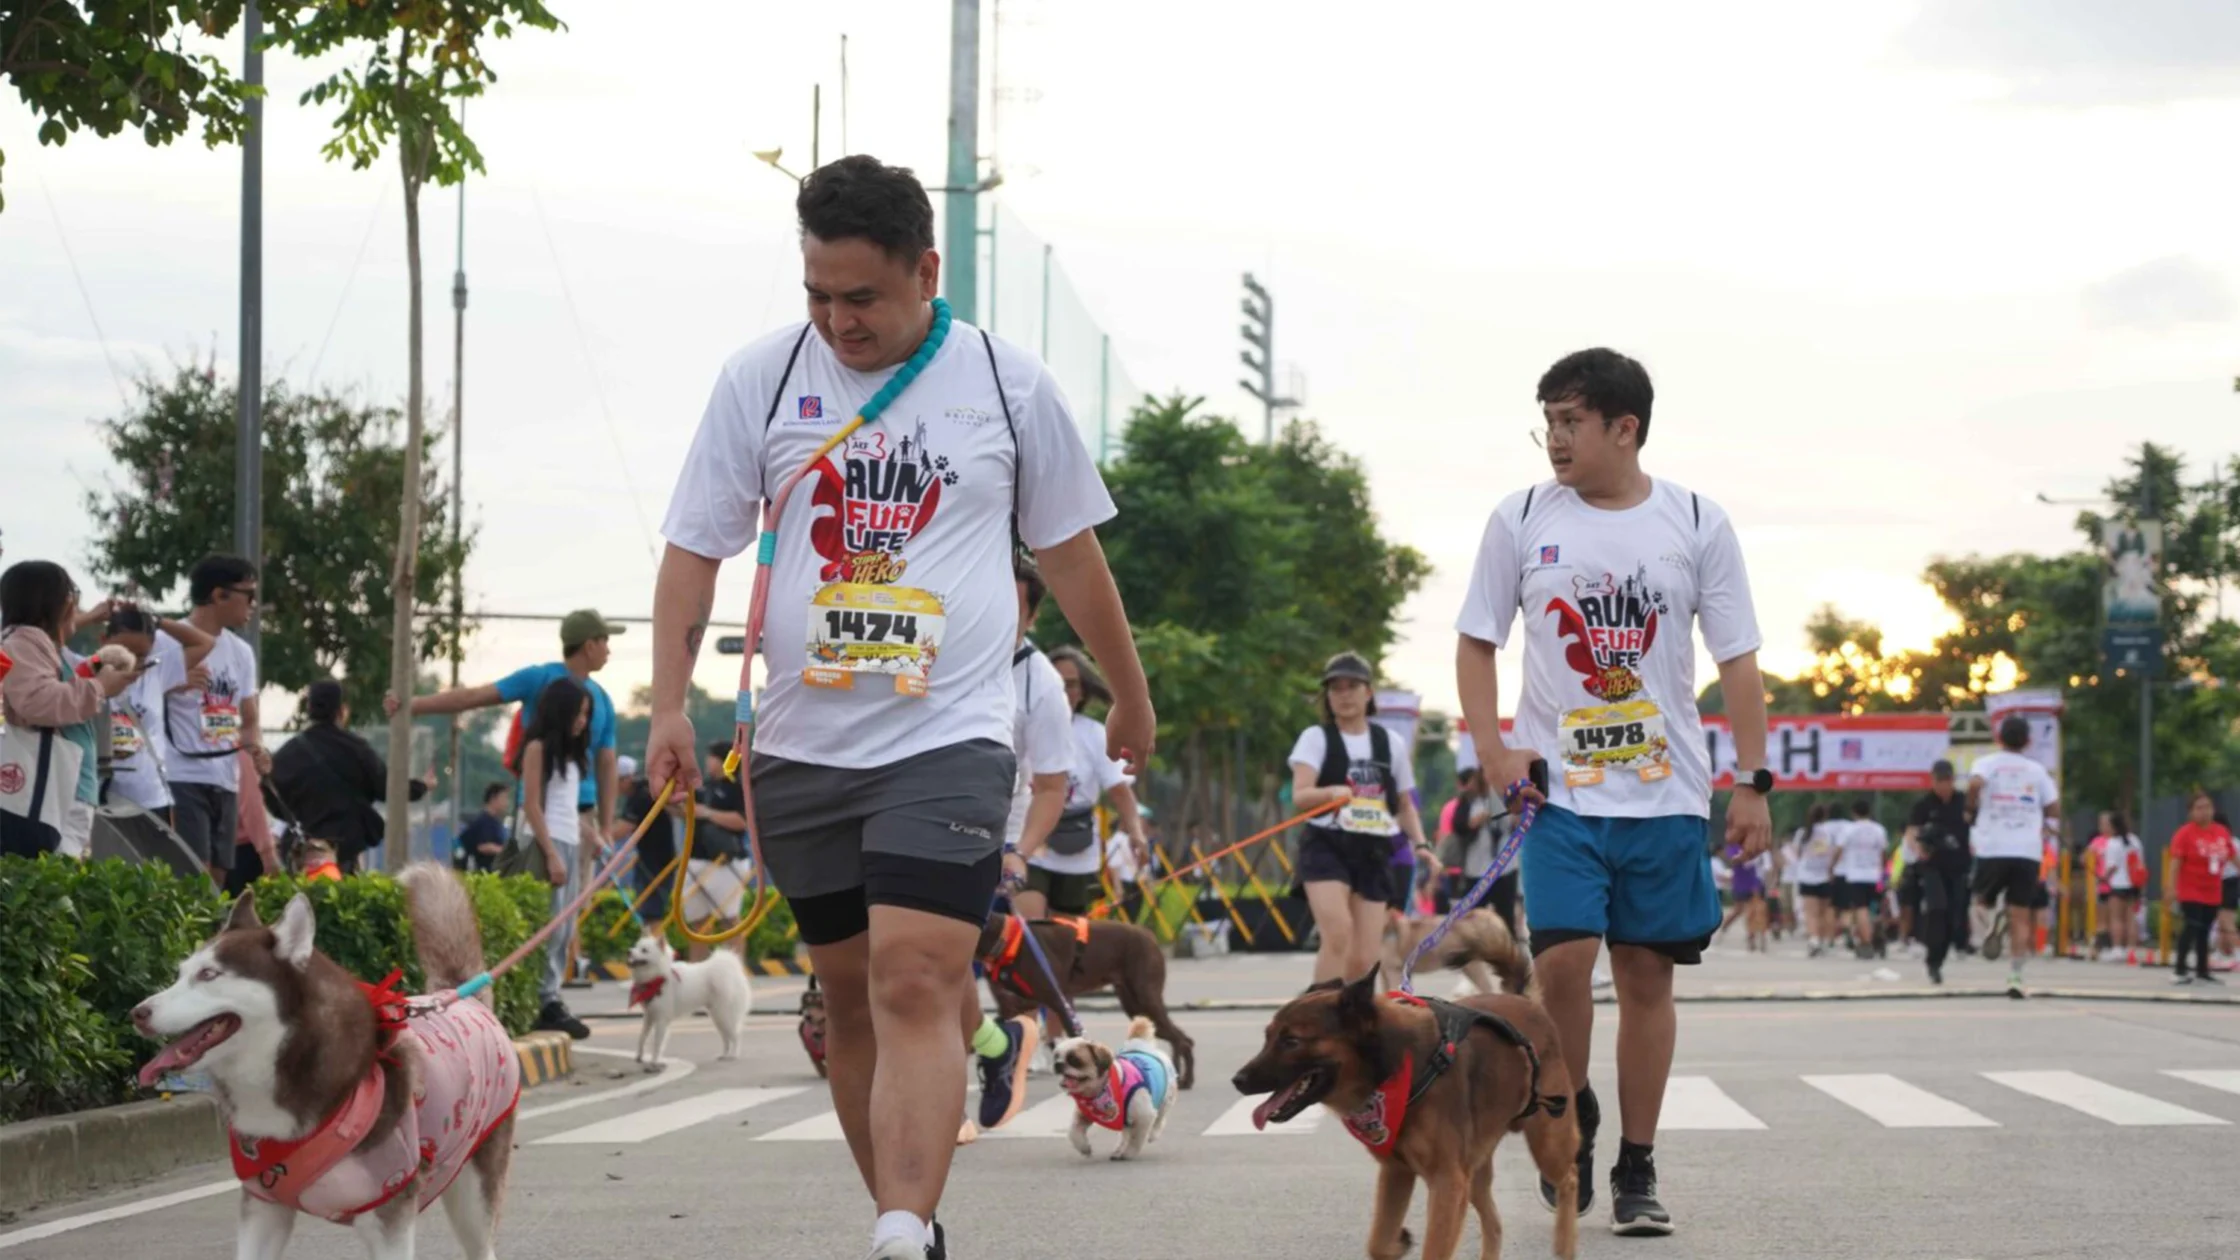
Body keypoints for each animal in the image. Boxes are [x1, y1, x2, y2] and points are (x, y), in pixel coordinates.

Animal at [131, 862, 518, 1259]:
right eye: (180, 973)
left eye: (209, 974)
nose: (138, 1013)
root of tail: (461, 996)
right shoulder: (264, 1207)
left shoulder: (389, 1211)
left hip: (473, 1188)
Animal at [625, 933, 751, 1070]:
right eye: (636, 946)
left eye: (644, 950)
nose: (629, 951)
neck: (656, 979)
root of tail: (734, 973)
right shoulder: (649, 1016)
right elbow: (642, 1037)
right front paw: (639, 1056)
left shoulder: (661, 1020)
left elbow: (657, 1043)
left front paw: (654, 1061)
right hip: (717, 1017)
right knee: (726, 1038)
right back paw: (724, 1055)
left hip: (724, 1015)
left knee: (735, 1036)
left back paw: (733, 1055)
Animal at [974, 911, 1196, 1089]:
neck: (1008, 941)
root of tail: (1148, 935)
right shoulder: (1017, 1005)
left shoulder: (1060, 1000)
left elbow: (1077, 1040)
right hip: (1135, 1006)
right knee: (1180, 1038)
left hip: (1146, 997)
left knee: (1183, 1040)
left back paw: (1185, 1080)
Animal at [1054, 1015, 1178, 1161]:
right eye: (1056, 1056)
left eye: (1074, 1060)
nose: (1058, 1064)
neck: (1101, 1090)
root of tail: (1141, 1047)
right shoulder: (1084, 1115)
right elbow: (1074, 1132)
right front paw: (1084, 1148)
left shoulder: (1144, 1116)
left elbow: (1136, 1139)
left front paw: (1129, 1153)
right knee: (1125, 1133)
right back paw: (1118, 1149)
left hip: (1166, 1098)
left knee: (1160, 1117)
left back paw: (1153, 1134)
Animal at [1233, 913, 1579, 1260]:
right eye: (1268, 1037)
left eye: (1291, 1041)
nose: (1238, 1080)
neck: (1397, 1067)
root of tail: (1525, 1001)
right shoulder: (1398, 1173)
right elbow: (1378, 1243)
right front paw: (1398, 1242)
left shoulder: (1447, 1182)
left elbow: (1431, 1249)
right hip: (1474, 1169)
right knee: (1494, 1222)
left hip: (1545, 1140)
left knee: (1569, 1179)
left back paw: (1564, 1242)